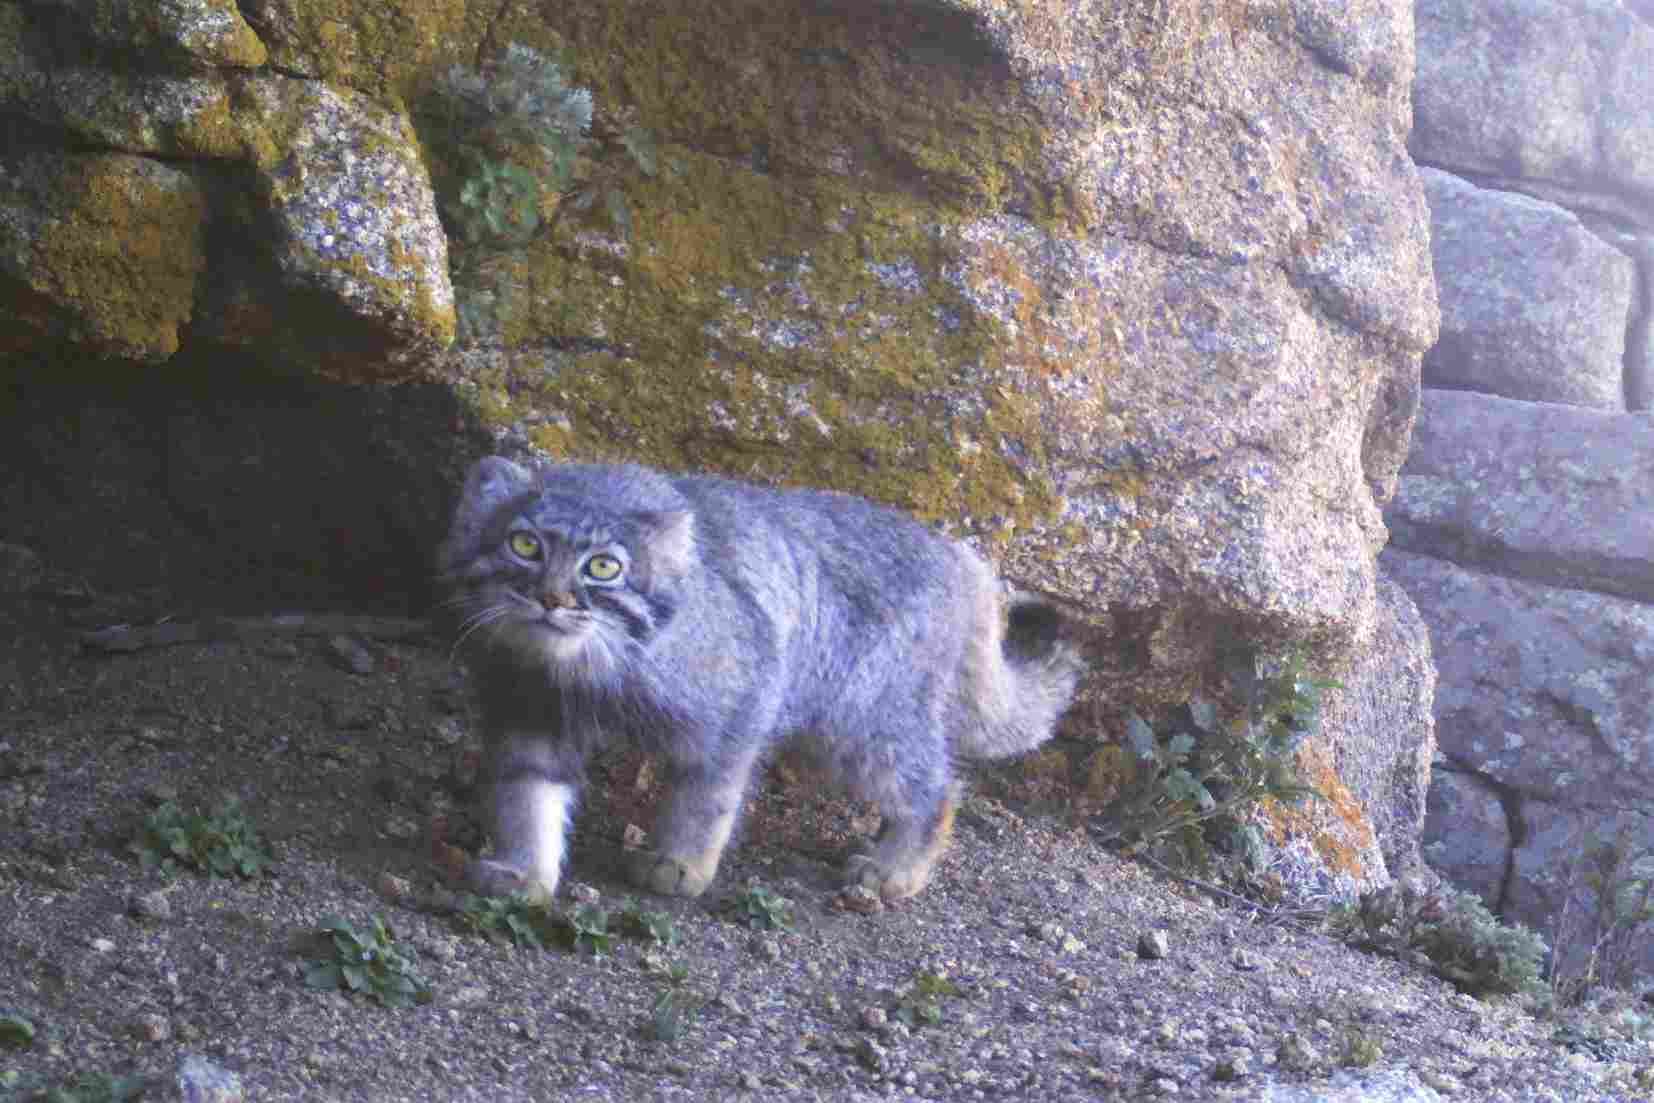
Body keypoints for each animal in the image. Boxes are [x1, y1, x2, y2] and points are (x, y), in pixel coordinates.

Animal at [439, 456, 1085, 906]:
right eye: (525, 545)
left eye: (603, 567)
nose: (551, 600)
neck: (586, 672)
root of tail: (962, 560)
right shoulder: (530, 712)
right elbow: (528, 798)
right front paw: (525, 869)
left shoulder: (737, 711)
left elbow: (706, 800)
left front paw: (682, 863)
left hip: (862, 726)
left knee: (936, 787)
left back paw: (897, 867)